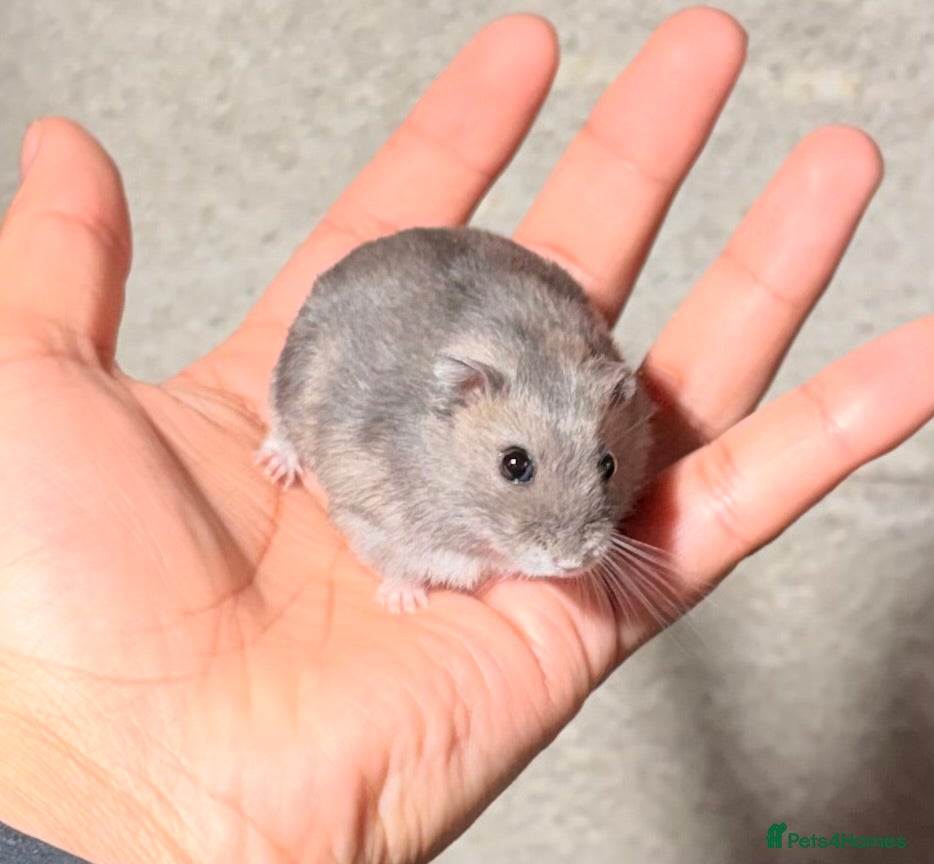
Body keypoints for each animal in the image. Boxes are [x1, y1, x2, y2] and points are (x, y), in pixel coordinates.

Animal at [257, 227, 653, 611]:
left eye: (609, 465)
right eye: (514, 463)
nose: (572, 562)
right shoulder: (370, 515)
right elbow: (396, 564)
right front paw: (404, 604)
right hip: (291, 374)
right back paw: (275, 468)